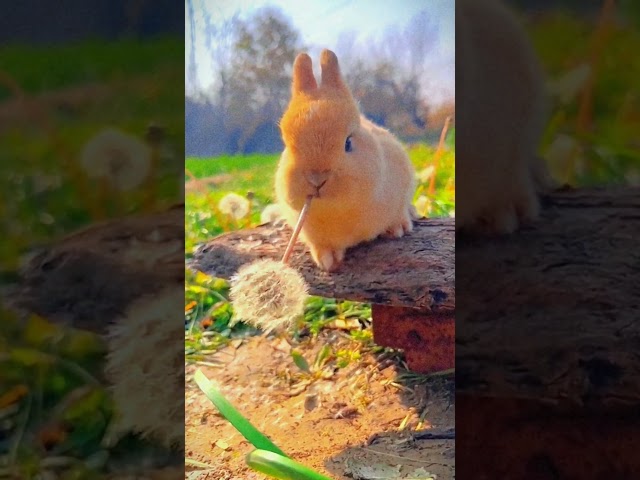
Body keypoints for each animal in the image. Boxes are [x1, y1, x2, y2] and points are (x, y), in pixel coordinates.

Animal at [274, 51, 416, 274]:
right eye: (287, 145)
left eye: (348, 143)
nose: (317, 178)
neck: (338, 210)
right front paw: (327, 261)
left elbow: (399, 212)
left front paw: (398, 229)